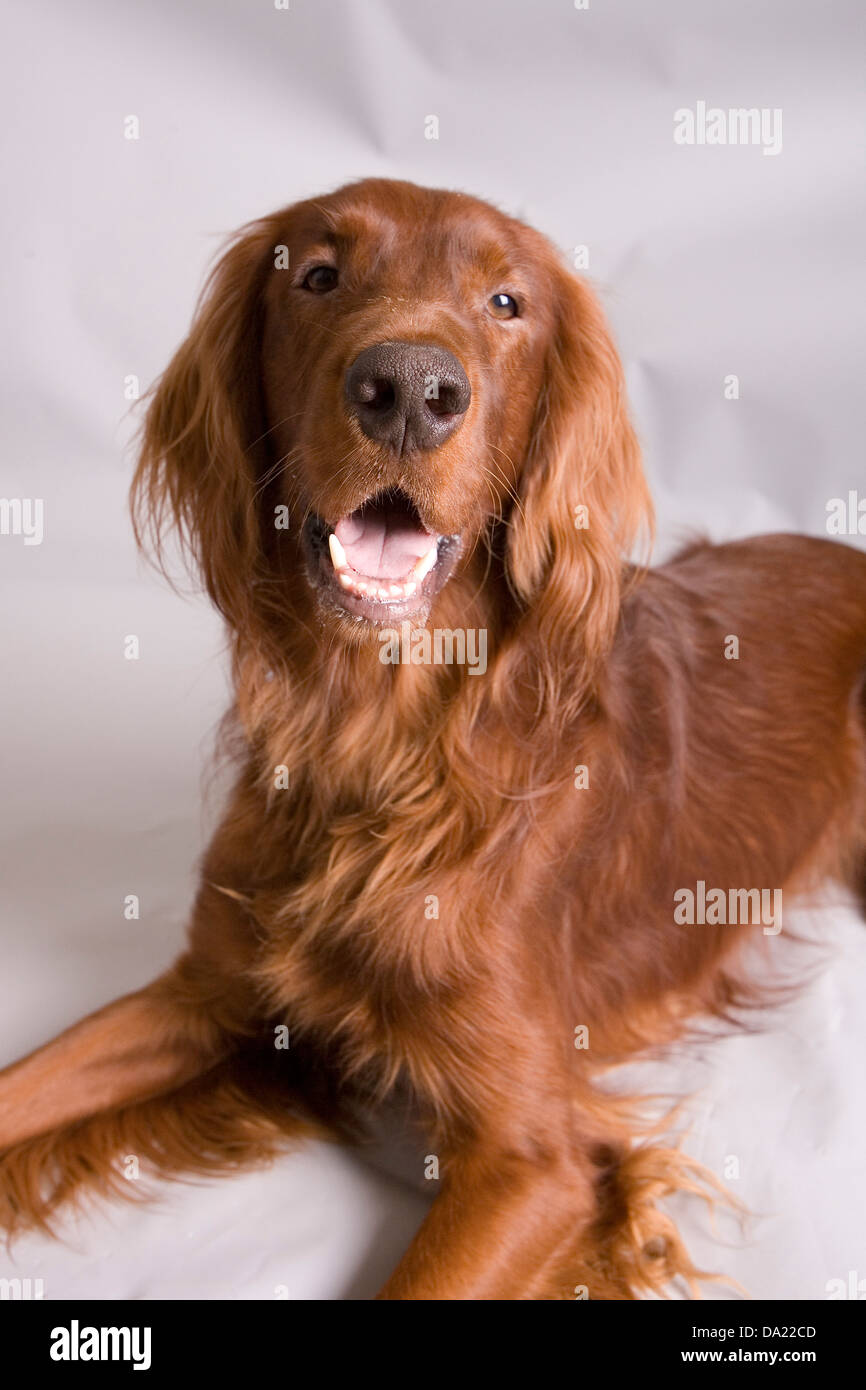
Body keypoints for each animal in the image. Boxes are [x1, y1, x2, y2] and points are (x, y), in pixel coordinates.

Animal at [1, 179, 866, 1295]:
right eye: (316, 275)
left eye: (506, 303)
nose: (408, 389)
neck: (379, 741)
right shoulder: (202, 996)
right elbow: (26, 1085)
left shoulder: (537, 1157)